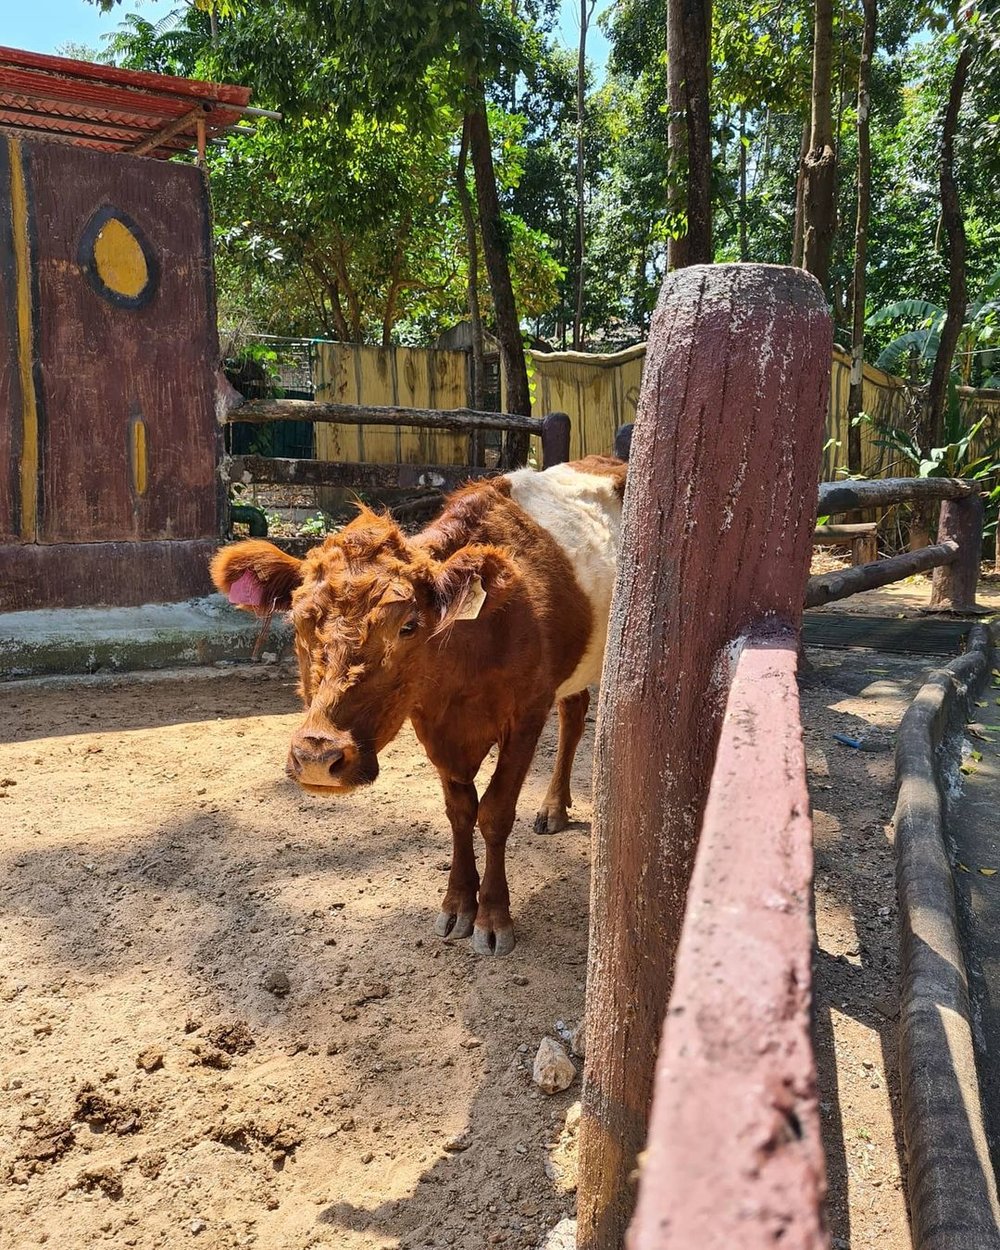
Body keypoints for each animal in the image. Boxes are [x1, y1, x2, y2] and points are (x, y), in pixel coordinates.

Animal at [210, 456, 625, 955]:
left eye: (408, 626)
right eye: (297, 620)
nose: (317, 755)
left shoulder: (526, 712)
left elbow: (495, 812)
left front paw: (492, 917)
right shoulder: (431, 720)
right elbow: (461, 810)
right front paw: (458, 904)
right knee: (575, 709)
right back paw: (555, 806)